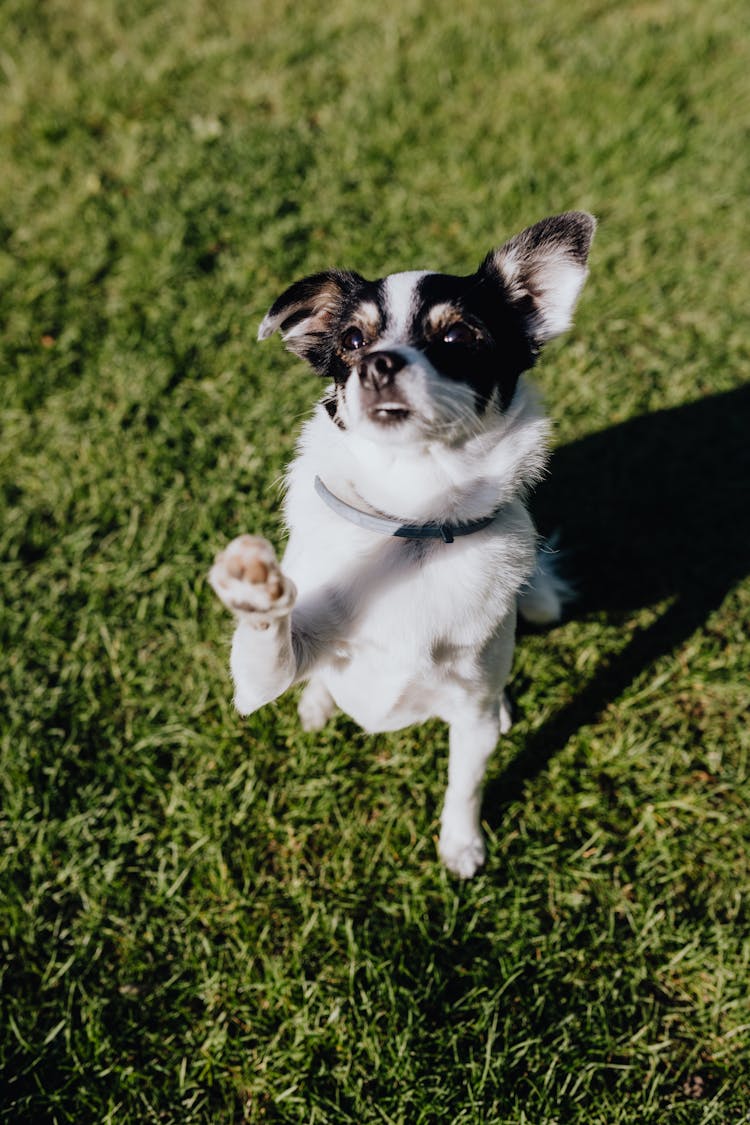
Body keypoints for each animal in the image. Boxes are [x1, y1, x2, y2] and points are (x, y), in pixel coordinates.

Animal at [208, 211, 593, 877]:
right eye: (352, 341)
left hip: (538, 609)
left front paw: (460, 845)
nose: (379, 363)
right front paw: (256, 589)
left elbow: (465, 783)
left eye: (458, 337)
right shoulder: (258, 684)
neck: (413, 521)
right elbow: (268, 645)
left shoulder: (470, 714)